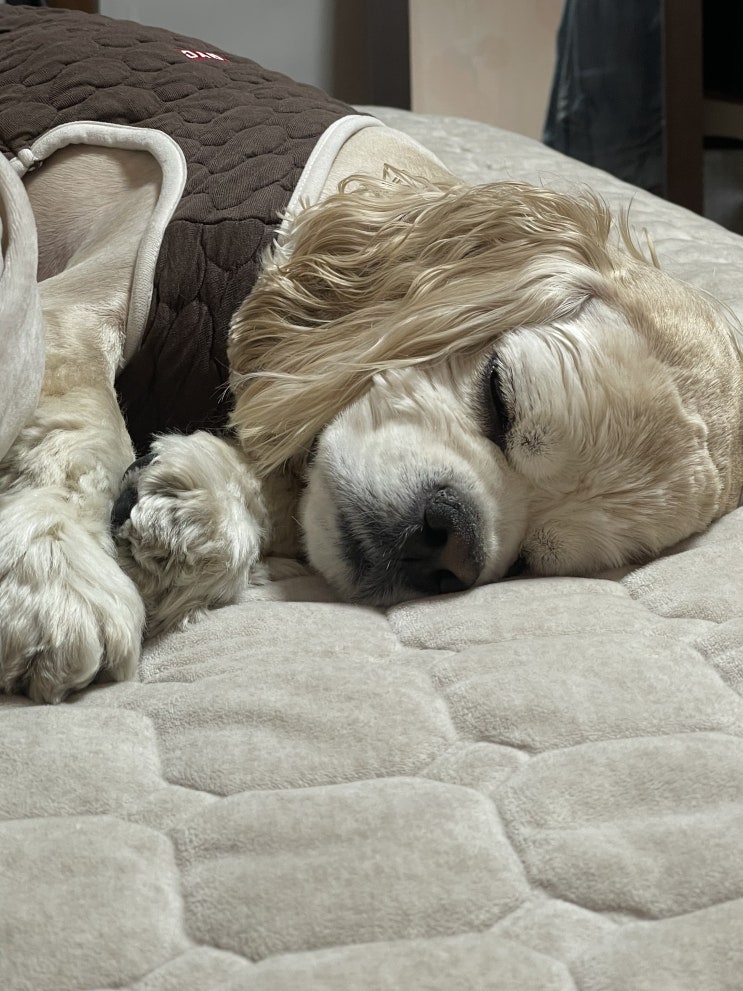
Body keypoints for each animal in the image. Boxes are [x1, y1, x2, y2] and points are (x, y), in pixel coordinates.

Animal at [2, 10, 743, 703]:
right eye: (498, 395)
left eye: (528, 562)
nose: (452, 541)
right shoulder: (68, 310)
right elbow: (81, 430)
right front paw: (55, 575)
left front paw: (193, 516)